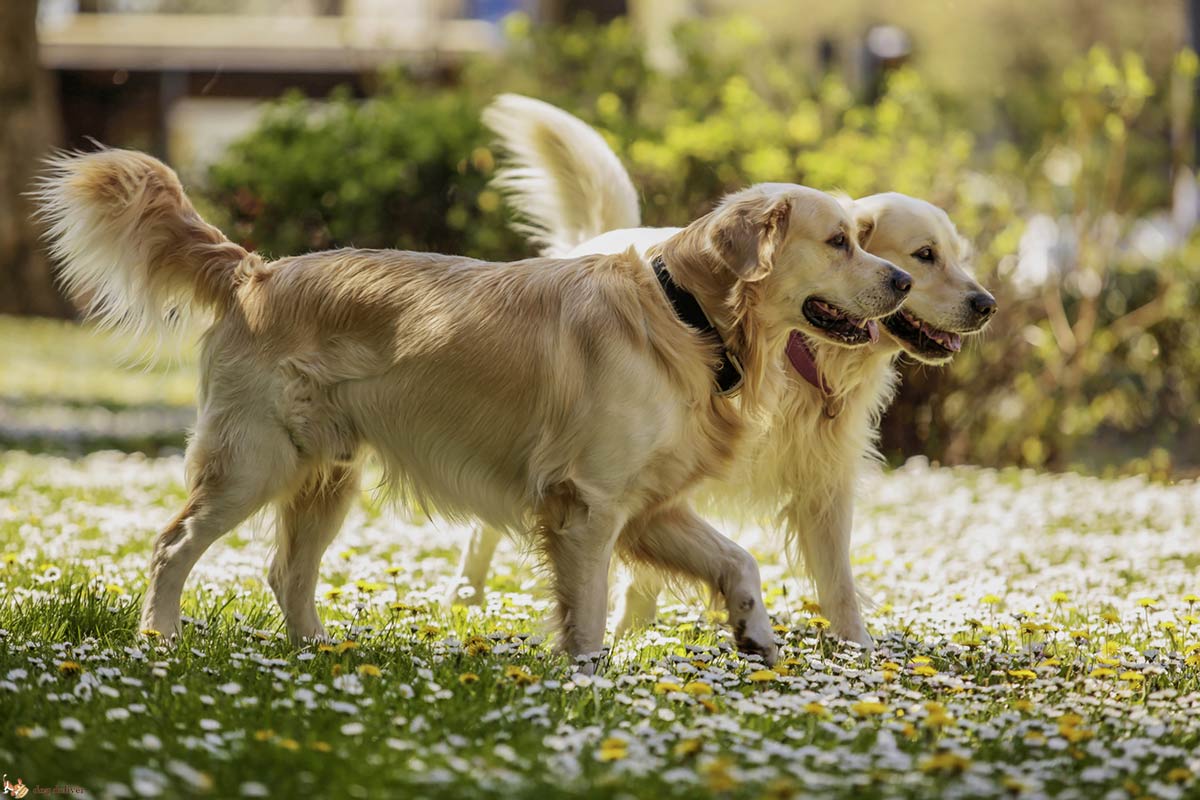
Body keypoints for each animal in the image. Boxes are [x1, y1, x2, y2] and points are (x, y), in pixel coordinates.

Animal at [39, 146, 916, 666]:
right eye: (839, 241)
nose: (904, 280)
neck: (687, 316)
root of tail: (256, 270)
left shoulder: (649, 506)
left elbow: (739, 558)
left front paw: (754, 631)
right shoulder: (588, 504)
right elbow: (589, 606)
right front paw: (589, 679)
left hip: (329, 471)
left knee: (286, 570)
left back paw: (319, 655)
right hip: (255, 460)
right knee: (172, 545)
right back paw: (160, 639)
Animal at [448, 94, 993, 647]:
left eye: (959, 256)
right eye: (925, 255)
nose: (987, 304)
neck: (800, 359)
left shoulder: (825, 484)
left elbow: (839, 584)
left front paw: (856, 650)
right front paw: (625, 636)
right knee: (482, 532)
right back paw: (465, 599)